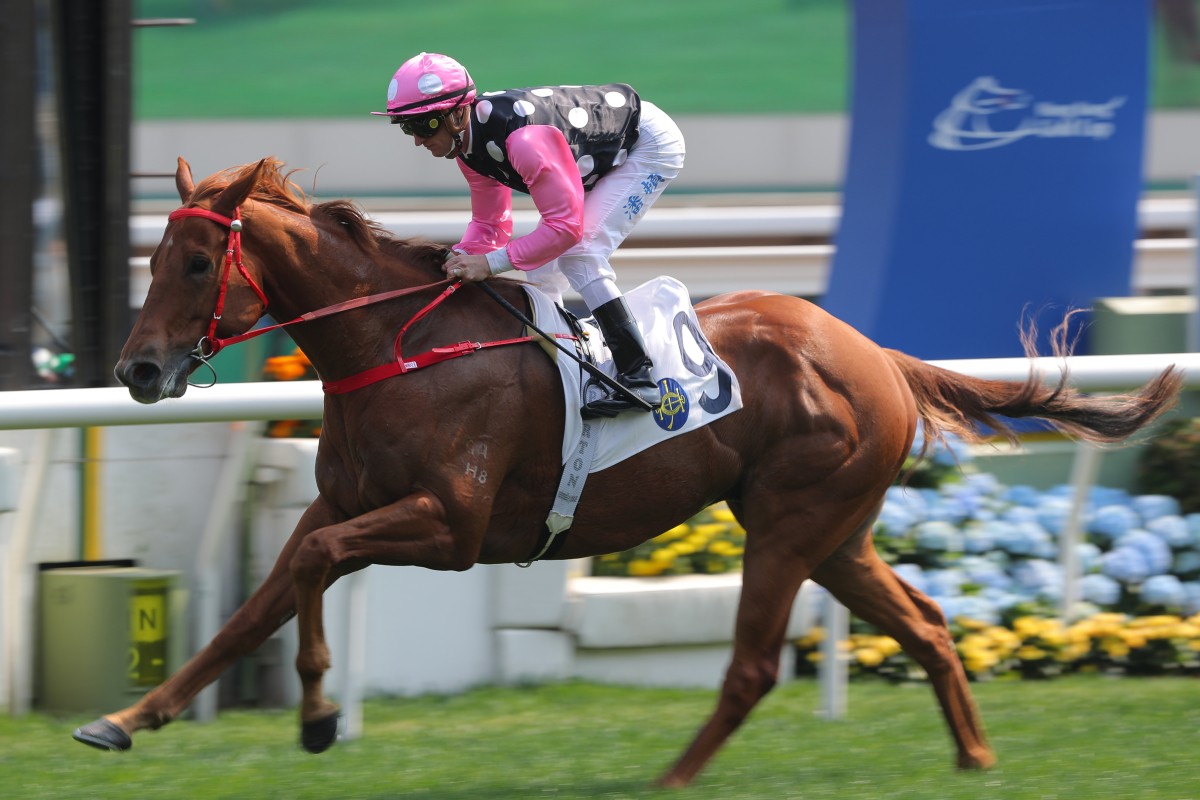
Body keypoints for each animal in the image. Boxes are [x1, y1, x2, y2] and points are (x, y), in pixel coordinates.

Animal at [79, 158, 1185, 786]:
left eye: (194, 264)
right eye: (153, 259)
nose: (138, 370)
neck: (397, 348)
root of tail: (877, 353)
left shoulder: (450, 526)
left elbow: (315, 574)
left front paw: (316, 716)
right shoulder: (337, 506)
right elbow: (254, 607)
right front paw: (128, 717)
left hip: (789, 523)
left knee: (751, 665)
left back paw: (672, 779)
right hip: (835, 533)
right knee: (925, 621)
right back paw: (975, 755)